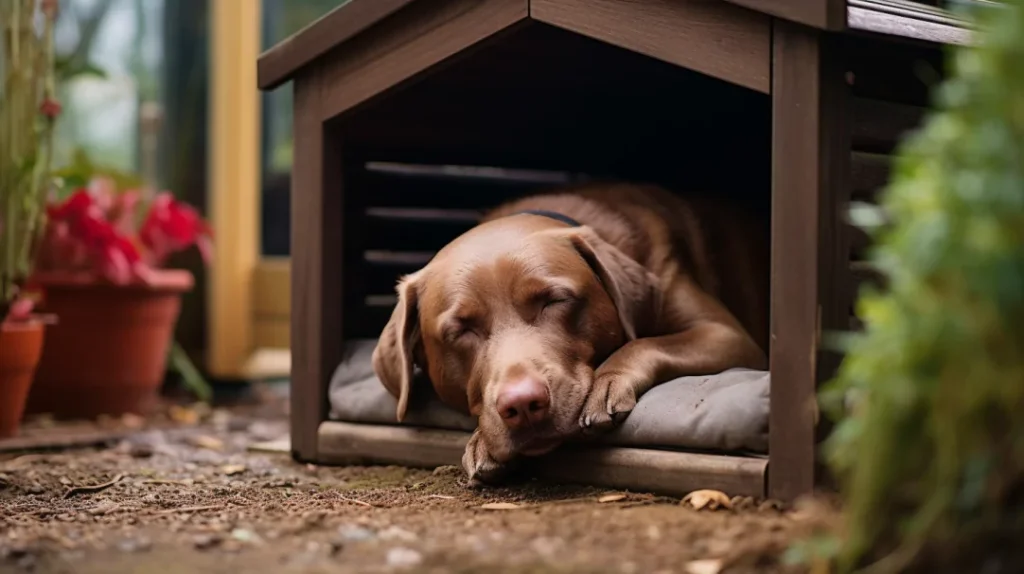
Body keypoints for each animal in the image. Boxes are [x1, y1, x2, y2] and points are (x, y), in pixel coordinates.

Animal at [372, 182, 765, 482]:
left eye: (554, 300)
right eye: (460, 329)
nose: (522, 405)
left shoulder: (724, 334)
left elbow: (644, 344)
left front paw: (607, 383)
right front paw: (482, 439)